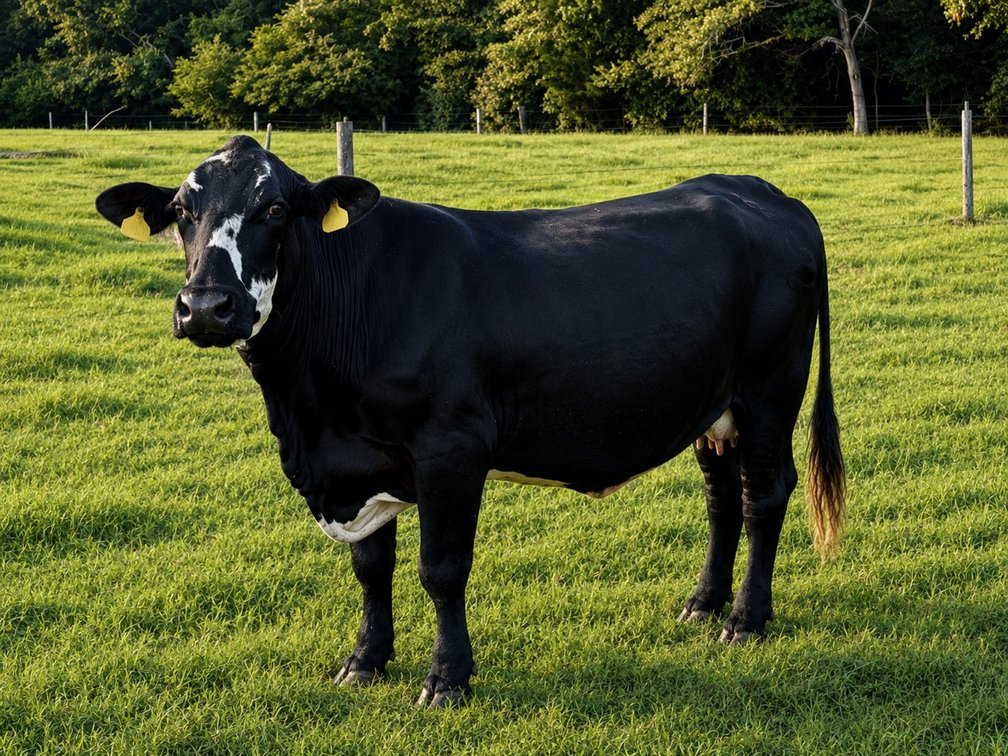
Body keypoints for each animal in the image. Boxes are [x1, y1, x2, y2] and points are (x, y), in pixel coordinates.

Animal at [95, 135, 846, 708]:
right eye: (181, 210)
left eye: (275, 206)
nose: (206, 306)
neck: (312, 414)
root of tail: (765, 191)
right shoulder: (364, 460)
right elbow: (371, 566)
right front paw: (365, 661)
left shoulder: (450, 448)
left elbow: (442, 568)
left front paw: (446, 680)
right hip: (711, 408)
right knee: (721, 500)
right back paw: (703, 604)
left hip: (770, 389)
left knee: (764, 495)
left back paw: (745, 619)